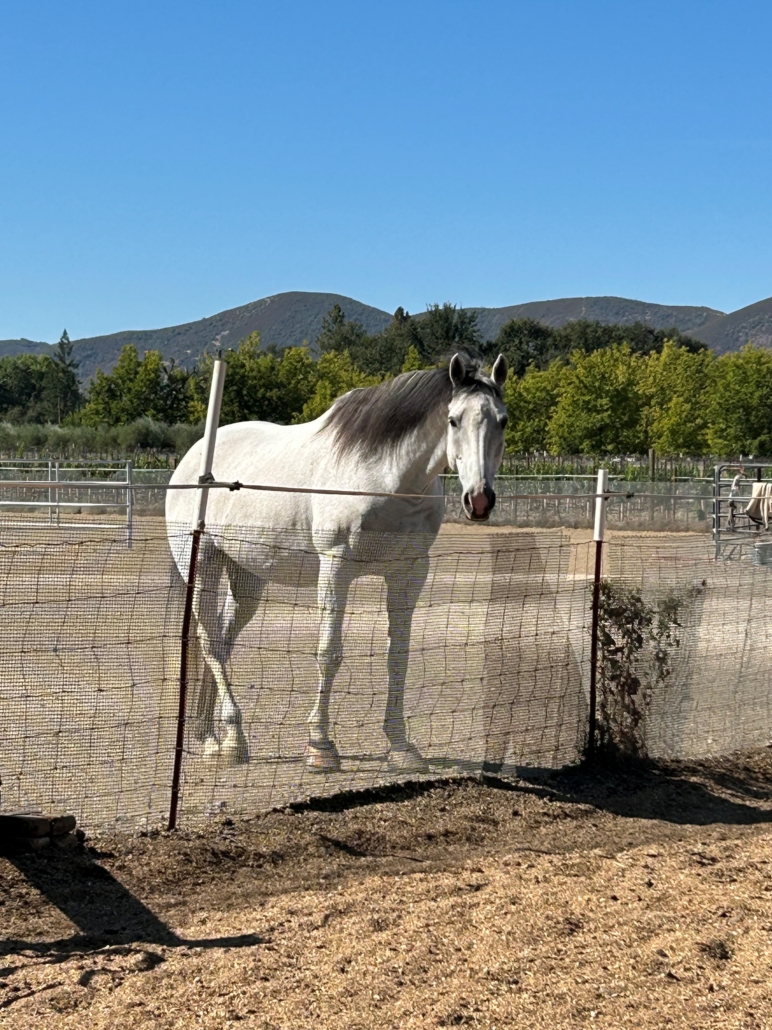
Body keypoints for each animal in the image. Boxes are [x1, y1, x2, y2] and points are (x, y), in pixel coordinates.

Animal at [165, 351, 509, 772]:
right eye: (453, 419)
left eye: (502, 420)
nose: (480, 500)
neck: (387, 478)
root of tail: (191, 459)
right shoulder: (336, 567)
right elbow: (329, 653)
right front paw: (320, 745)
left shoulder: (409, 572)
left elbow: (398, 656)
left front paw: (400, 746)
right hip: (202, 565)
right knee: (211, 641)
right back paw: (230, 740)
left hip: (246, 580)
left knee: (224, 641)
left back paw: (216, 736)